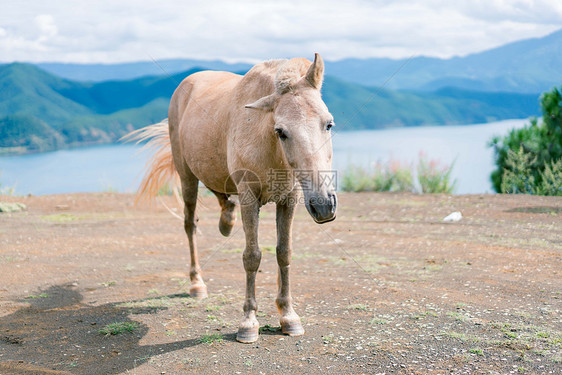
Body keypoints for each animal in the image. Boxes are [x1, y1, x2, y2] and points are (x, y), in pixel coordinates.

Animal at [127, 53, 336, 344]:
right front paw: (248, 323)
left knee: (222, 196)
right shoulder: (249, 197)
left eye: (329, 124)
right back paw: (196, 283)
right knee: (190, 225)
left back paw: (226, 221)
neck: (267, 142)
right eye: (281, 131)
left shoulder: (290, 198)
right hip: (187, 177)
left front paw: (288, 316)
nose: (324, 204)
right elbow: (252, 257)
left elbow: (284, 253)